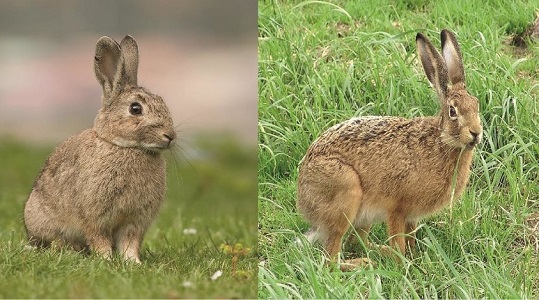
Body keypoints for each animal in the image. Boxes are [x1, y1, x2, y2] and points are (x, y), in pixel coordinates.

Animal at [23, 35, 176, 262]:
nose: (170, 136)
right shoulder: (95, 216)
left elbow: (129, 243)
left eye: (162, 101)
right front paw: (106, 259)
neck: (126, 147)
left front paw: (133, 262)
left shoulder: (134, 221)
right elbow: (99, 238)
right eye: (135, 109)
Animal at [298, 28, 484, 268]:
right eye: (453, 111)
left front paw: (415, 257)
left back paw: (377, 254)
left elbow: (411, 236)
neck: (441, 140)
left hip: (362, 217)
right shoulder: (396, 208)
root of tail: (303, 198)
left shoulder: (412, 216)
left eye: (476, 105)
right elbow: (399, 240)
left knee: (355, 242)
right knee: (331, 258)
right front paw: (402, 263)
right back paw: (362, 263)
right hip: (345, 193)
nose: (476, 132)